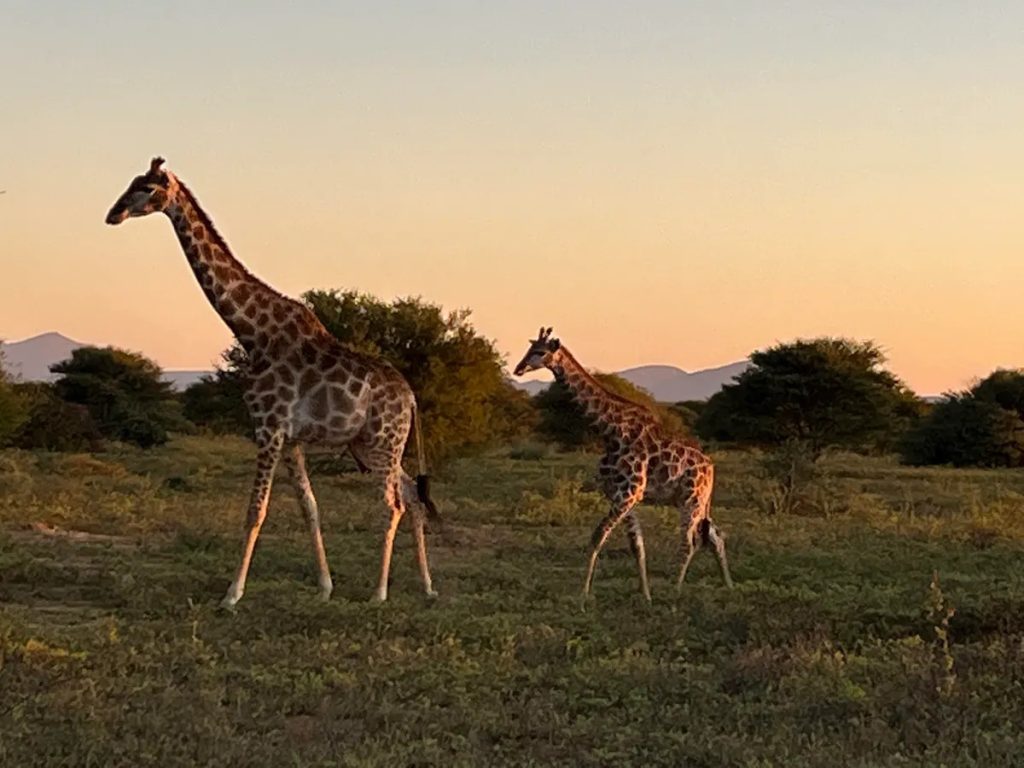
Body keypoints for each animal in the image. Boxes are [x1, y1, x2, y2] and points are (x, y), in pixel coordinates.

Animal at [105, 157, 441, 607]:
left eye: (146, 188)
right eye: (133, 183)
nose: (113, 214)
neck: (253, 332)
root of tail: (412, 398)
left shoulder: (267, 427)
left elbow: (255, 510)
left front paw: (231, 595)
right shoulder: (291, 437)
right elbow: (309, 506)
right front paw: (324, 587)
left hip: (384, 442)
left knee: (393, 505)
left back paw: (379, 592)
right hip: (370, 444)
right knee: (412, 496)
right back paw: (426, 585)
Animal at [513, 328, 732, 602]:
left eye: (540, 352)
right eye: (529, 349)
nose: (518, 369)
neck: (610, 431)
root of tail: (711, 468)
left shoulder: (628, 494)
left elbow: (597, 537)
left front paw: (583, 594)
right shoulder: (620, 496)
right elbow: (636, 546)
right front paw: (645, 595)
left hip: (691, 499)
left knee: (690, 542)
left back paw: (674, 590)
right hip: (694, 500)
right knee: (714, 536)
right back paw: (728, 586)